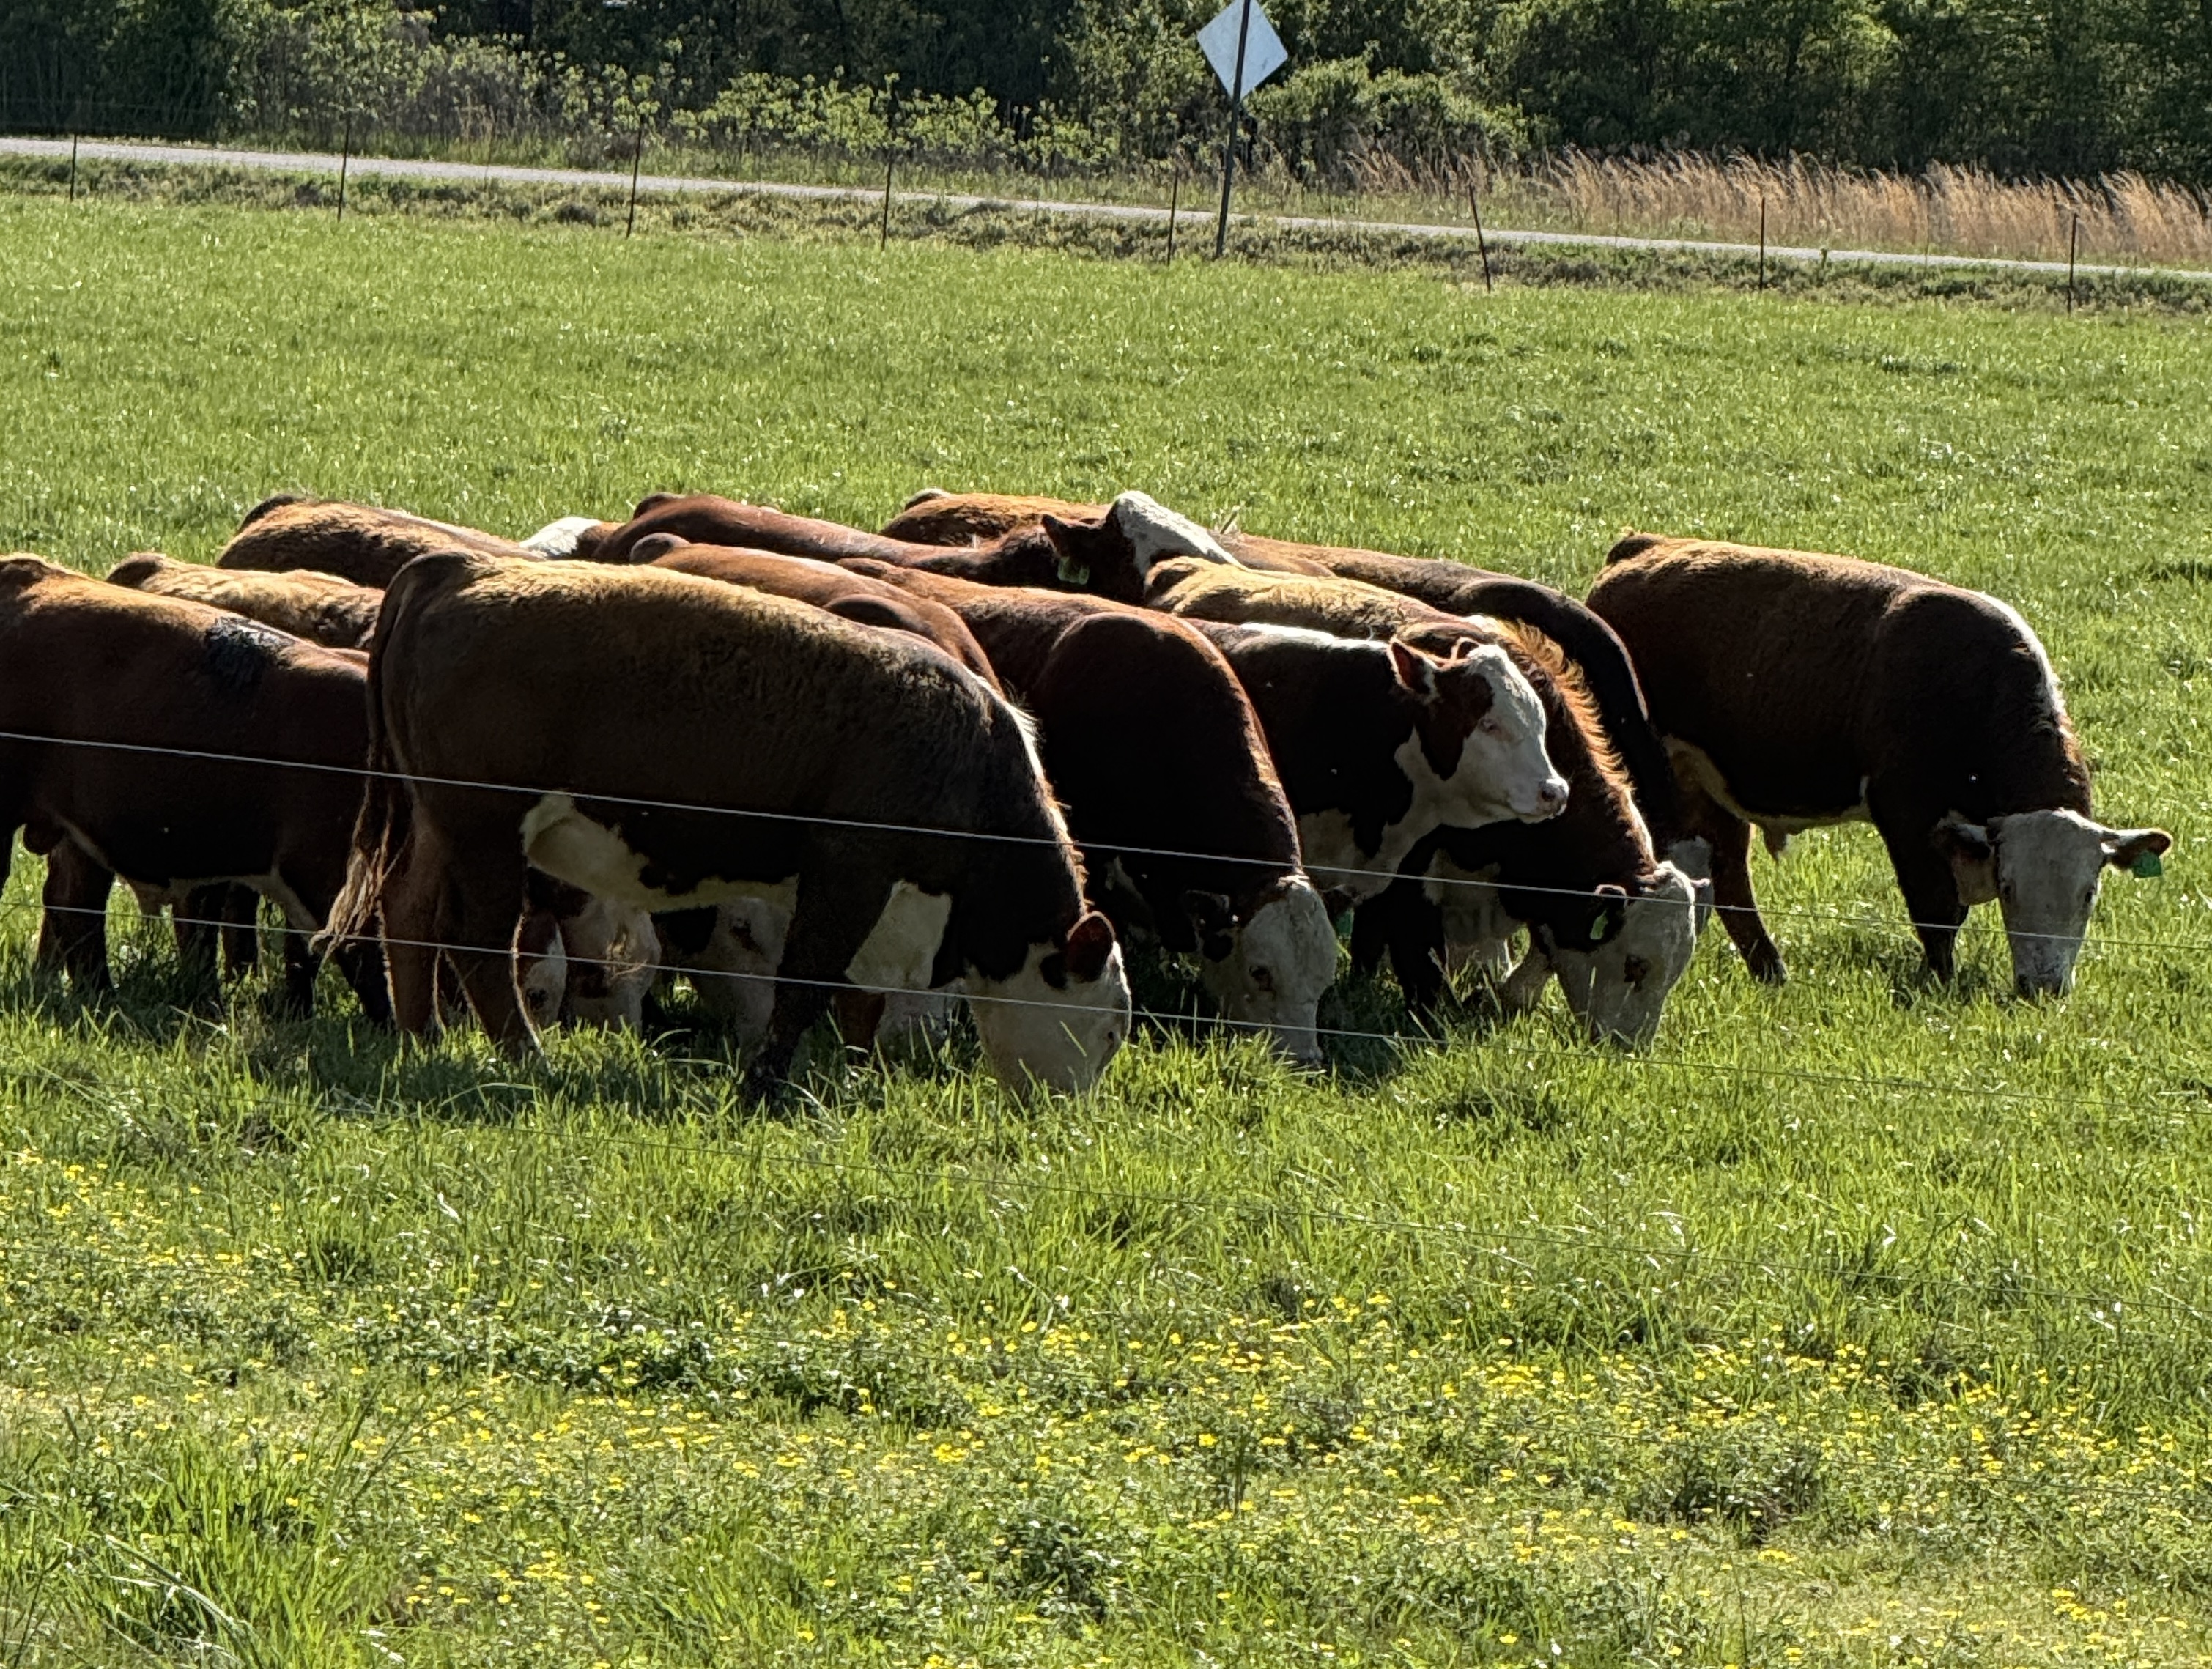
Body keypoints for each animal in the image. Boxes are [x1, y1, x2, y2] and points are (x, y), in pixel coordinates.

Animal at [327, 552, 1130, 1095]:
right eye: (1111, 1029)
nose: (1066, 1116)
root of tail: (456, 569)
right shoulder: (851, 868)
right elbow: (805, 983)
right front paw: (765, 1088)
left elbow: (853, 997)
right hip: (487, 827)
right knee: (480, 944)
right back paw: (528, 1058)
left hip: (437, 821)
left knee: (408, 911)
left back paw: (423, 1034)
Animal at [1587, 535, 2171, 995]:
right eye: (2008, 886)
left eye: (2089, 892)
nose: (2042, 988)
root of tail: (1645, 546)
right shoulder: (1906, 815)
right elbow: (1936, 913)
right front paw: (1939, 985)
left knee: (1726, 874)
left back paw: (1771, 972)